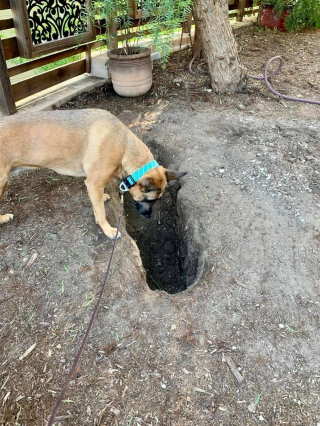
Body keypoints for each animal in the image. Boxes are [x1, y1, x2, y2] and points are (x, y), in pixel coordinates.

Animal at [0, 108, 186, 238]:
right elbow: (101, 213)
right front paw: (108, 230)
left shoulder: (96, 184)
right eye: (149, 200)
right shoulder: (93, 183)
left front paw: (103, 197)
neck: (123, 146)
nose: (148, 216)